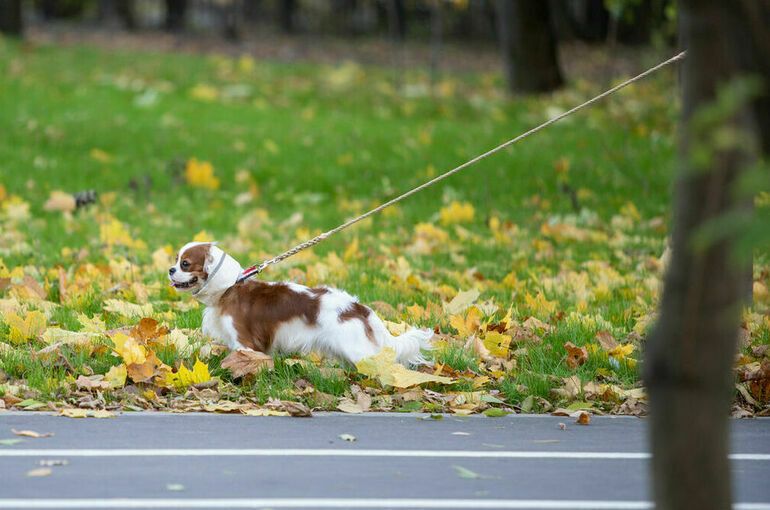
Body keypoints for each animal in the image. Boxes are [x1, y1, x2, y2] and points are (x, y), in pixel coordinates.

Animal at [168, 241, 432, 364]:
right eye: (176, 260)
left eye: (185, 264)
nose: (170, 270)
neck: (231, 287)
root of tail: (360, 309)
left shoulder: (244, 342)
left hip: (357, 350)